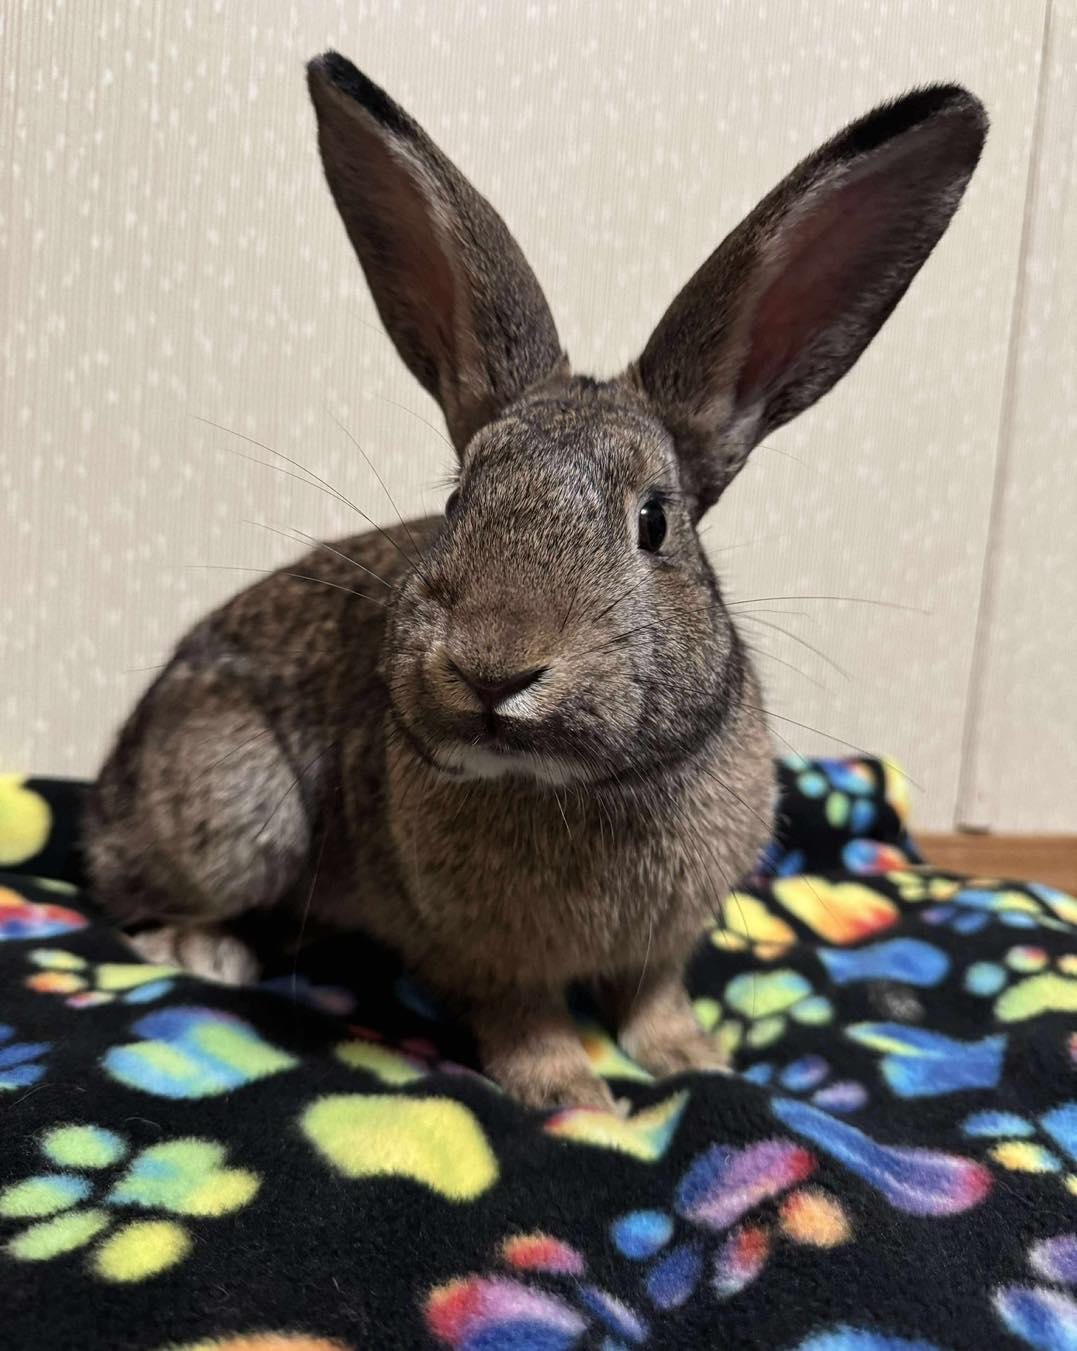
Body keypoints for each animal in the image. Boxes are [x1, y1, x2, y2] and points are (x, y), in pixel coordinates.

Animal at [84, 52, 986, 1111]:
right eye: (458, 499)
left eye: (653, 522)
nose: (493, 669)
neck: (567, 787)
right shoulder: (474, 953)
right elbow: (524, 1018)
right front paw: (576, 1098)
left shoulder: (661, 945)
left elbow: (654, 1002)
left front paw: (697, 1062)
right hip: (238, 805)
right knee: (129, 896)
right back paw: (208, 950)